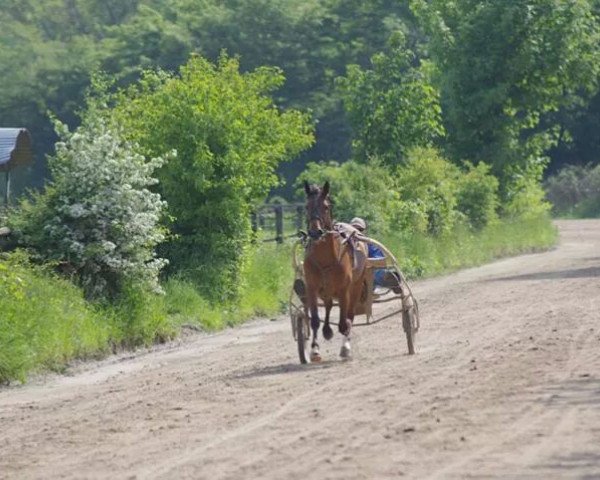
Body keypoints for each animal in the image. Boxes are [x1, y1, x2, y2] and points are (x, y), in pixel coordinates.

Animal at [300, 182, 366, 362]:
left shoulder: (344, 290)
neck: (325, 259)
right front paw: (315, 350)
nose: (315, 232)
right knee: (329, 305)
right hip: (326, 291)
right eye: (306, 206)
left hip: (355, 288)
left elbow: (344, 323)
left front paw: (345, 348)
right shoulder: (312, 287)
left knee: (349, 316)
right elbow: (315, 320)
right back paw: (327, 330)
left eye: (325, 207)